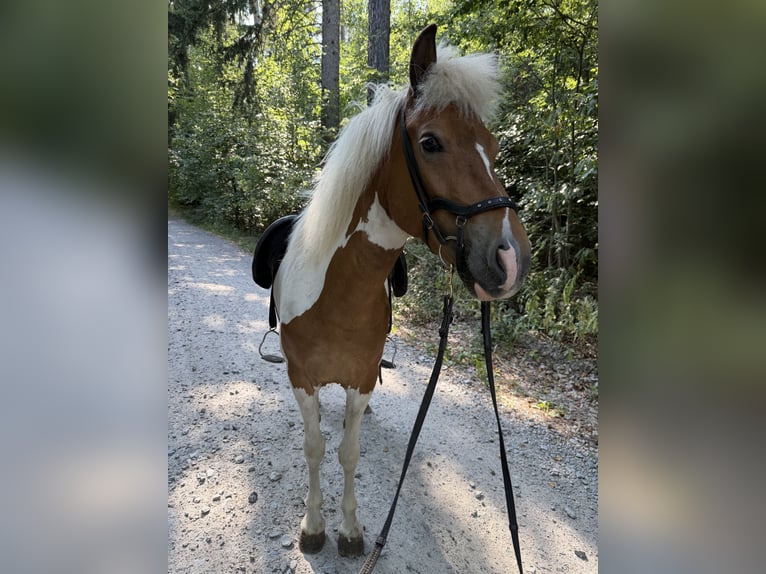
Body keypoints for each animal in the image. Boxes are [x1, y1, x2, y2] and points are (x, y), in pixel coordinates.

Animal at [253, 24, 531, 557]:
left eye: (492, 146)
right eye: (430, 142)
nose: (511, 260)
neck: (336, 297)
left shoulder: (361, 379)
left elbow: (349, 450)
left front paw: (350, 529)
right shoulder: (301, 379)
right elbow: (315, 448)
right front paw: (313, 526)